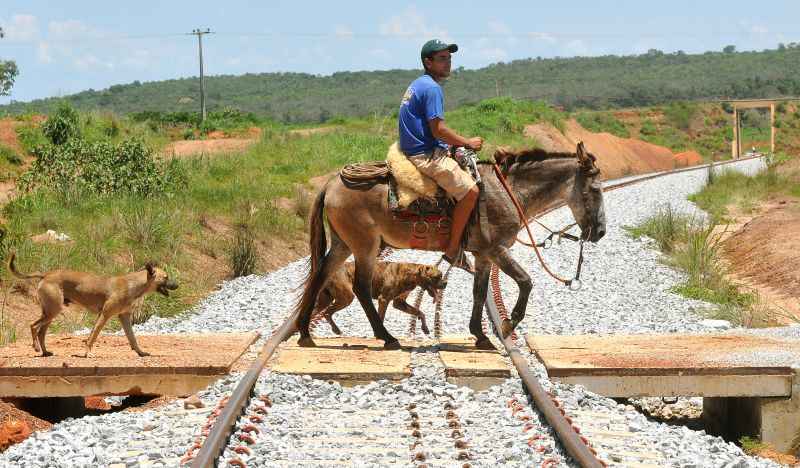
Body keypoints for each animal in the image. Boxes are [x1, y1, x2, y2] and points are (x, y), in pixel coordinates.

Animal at [7, 252, 177, 358]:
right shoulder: (104, 315)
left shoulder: (124, 317)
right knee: (33, 326)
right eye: (166, 277)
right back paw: (36, 347)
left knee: (41, 332)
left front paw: (141, 353)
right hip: (52, 311)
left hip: (50, 313)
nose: (177, 285)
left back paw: (45, 352)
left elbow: (132, 338)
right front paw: (88, 353)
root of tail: (46, 274)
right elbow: (93, 336)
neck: (133, 284)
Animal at [312, 262, 446, 334]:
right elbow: (380, 318)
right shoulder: (384, 300)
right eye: (437, 277)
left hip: (325, 300)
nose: (445, 283)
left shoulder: (399, 303)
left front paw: (425, 327)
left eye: (442, 275)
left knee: (320, 313)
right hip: (345, 298)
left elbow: (419, 312)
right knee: (327, 312)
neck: (411, 274)